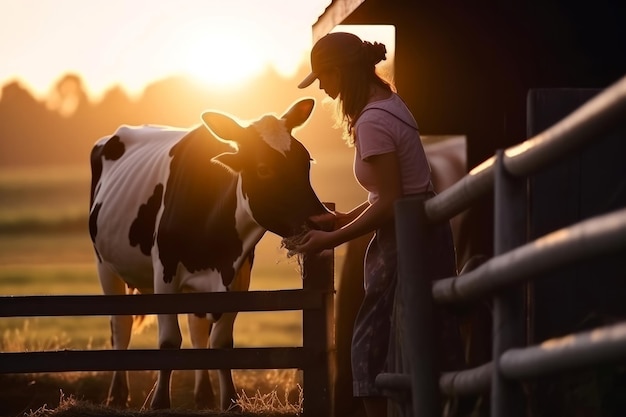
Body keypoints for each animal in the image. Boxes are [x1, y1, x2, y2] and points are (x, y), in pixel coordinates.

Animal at [89, 98, 330, 410]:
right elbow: (169, 341)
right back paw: (117, 395)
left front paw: (230, 402)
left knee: (197, 330)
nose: (322, 220)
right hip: (105, 265)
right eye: (263, 168)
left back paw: (203, 395)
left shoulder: (238, 275)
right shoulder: (164, 271)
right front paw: (160, 402)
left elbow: (221, 342)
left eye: (306, 161)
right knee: (121, 325)